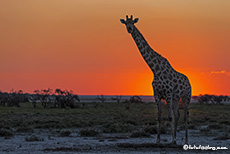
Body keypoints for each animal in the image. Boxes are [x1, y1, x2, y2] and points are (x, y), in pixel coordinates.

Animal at [120, 15, 192, 144]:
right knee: (177, 115)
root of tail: (188, 81)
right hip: (176, 98)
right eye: (125, 23)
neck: (155, 70)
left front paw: (172, 140)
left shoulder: (167, 93)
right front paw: (158, 140)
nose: (129, 29)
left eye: (133, 23)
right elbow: (159, 117)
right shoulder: (157, 94)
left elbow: (169, 117)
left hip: (186, 96)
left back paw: (185, 141)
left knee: (185, 116)